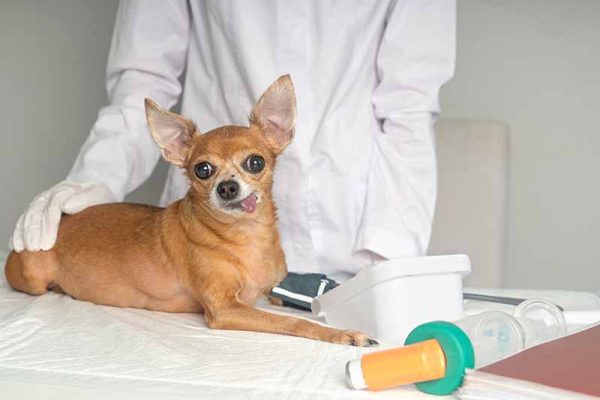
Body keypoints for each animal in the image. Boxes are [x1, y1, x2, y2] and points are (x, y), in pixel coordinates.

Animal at [5, 76, 376, 346]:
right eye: (202, 169)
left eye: (255, 162)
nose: (227, 187)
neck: (244, 236)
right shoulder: (224, 309)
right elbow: (293, 323)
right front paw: (342, 333)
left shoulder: (267, 290)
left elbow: (289, 300)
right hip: (33, 277)